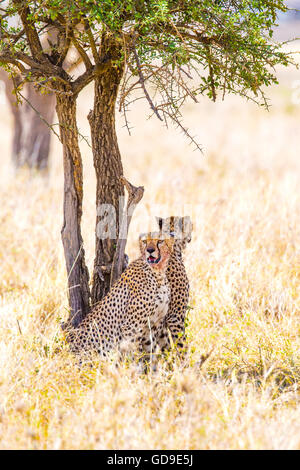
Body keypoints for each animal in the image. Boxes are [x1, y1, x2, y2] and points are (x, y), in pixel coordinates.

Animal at [65, 232, 173, 360]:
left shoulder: (153, 324)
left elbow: (149, 351)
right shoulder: (132, 327)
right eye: (145, 241)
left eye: (160, 241)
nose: (150, 250)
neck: (158, 273)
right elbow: (134, 353)